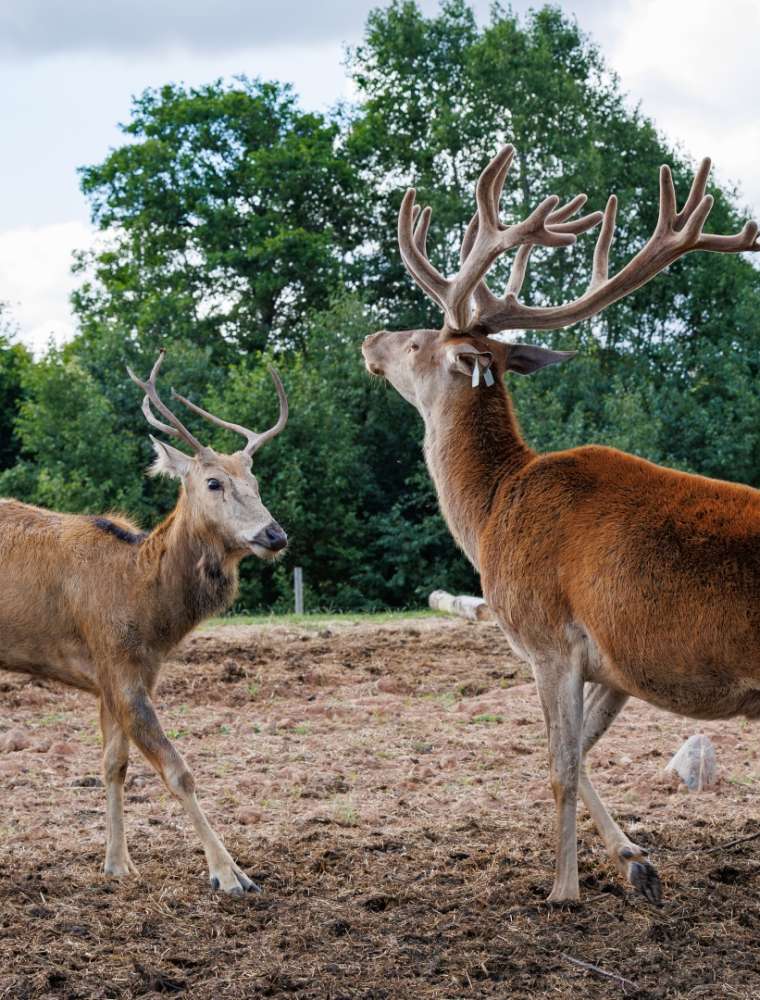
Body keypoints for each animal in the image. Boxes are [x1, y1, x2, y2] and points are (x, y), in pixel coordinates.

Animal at [0, 350, 288, 895]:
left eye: (258, 483)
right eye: (214, 482)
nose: (274, 534)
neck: (145, 604)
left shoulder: (124, 674)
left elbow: (114, 764)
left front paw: (117, 863)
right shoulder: (116, 664)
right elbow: (178, 770)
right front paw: (230, 873)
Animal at [362, 144, 760, 904]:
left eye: (422, 340)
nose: (371, 339)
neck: (491, 511)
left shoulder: (548, 637)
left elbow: (559, 766)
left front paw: (563, 889)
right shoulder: (616, 660)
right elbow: (584, 754)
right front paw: (635, 858)